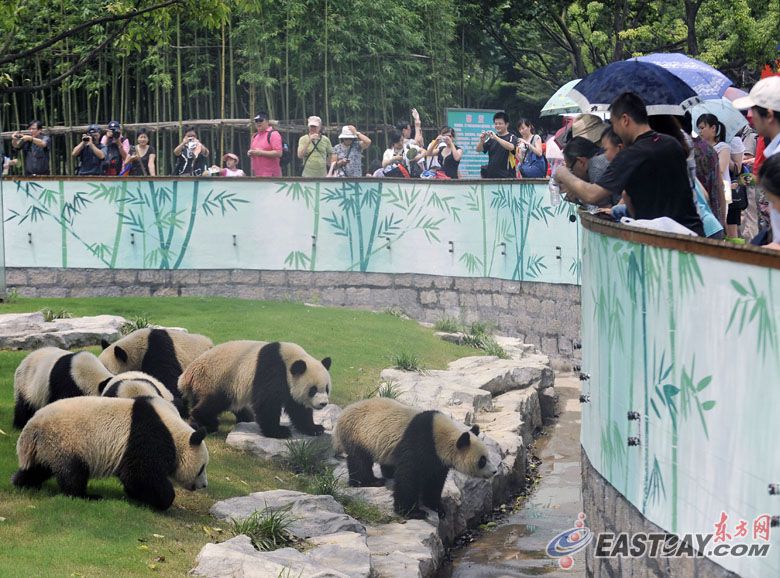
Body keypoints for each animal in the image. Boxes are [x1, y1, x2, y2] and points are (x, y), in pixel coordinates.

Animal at [12, 392, 207, 508]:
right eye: (202, 468)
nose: (204, 485)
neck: (174, 430)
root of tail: (32, 427)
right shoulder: (148, 438)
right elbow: (143, 474)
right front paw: (162, 500)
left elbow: (132, 476)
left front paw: (136, 495)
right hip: (66, 441)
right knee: (73, 473)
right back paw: (87, 496)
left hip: (46, 447)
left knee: (38, 468)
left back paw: (22, 482)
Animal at [332, 396, 496, 516]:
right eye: (482, 460)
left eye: (488, 456)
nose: (494, 471)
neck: (441, 437)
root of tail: (342, 414)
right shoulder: (419, 443)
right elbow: (408, 476)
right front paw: (413, 512)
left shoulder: (438, 459)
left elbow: (434, 480)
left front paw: (437, 507)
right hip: (358, 433)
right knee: (360, 460)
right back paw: (369, 481)